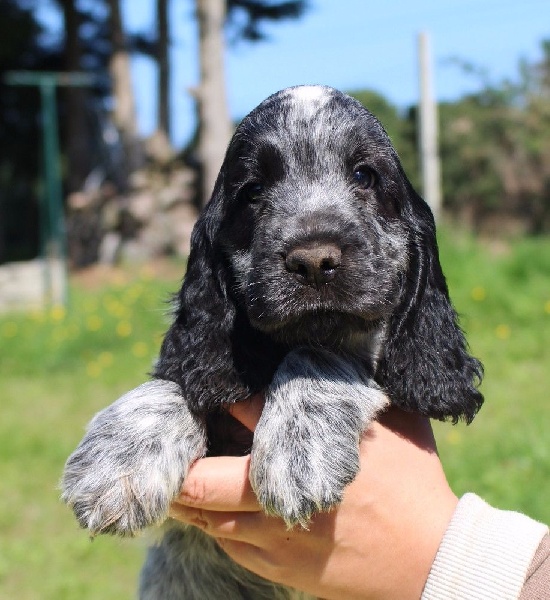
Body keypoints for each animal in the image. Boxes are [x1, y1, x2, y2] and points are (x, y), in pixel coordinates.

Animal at [62, 85, 483, 599]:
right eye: (253, 191)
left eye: (364, 175)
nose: (314, 260)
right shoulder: (206, 359)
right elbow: (181, 378)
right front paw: (117, 463)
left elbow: (317, 352)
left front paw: (298, 449)